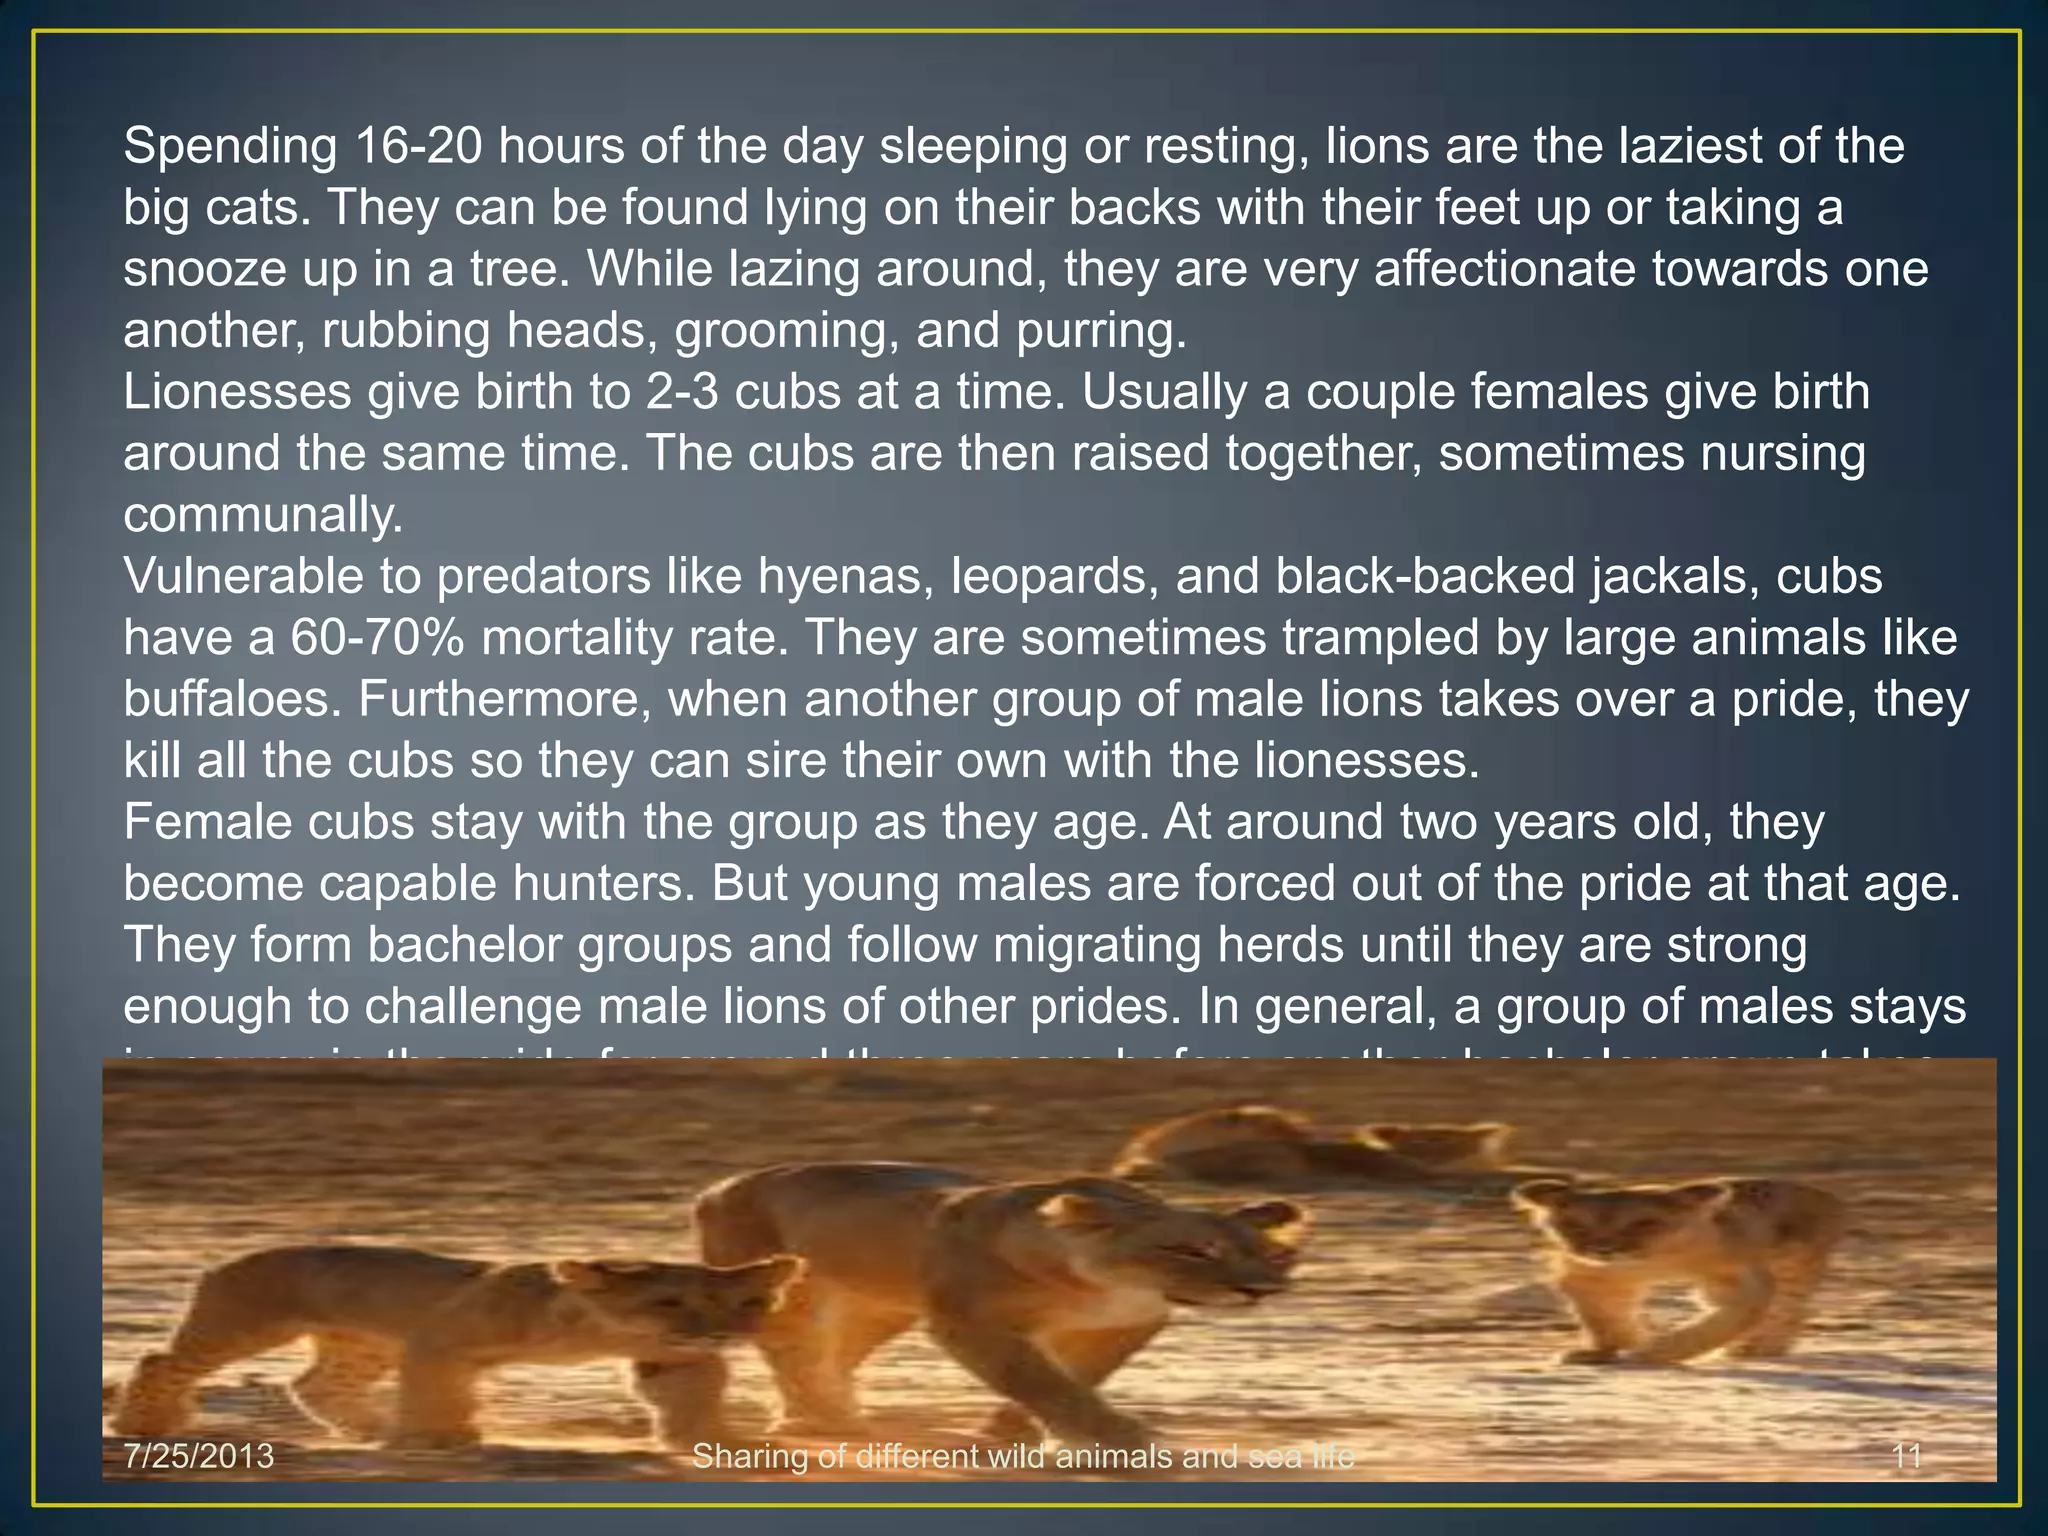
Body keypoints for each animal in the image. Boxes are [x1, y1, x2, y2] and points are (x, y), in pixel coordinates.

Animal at [109, 1243, 803, 1450]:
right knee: (161, 1360)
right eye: (671, 1301)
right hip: (247, 1324)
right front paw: (437, 1437)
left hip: (362, 1344)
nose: (724, 1332)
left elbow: (693, 1391)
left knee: (315, 1385)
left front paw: (712, 1439)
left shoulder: (673, 1356)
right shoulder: (439, 1336)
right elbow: (438, 1392)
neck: (599, 1329)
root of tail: (222, 1261)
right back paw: (142, 1424)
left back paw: (366, 1429)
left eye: (744, 1303)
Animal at [675, 1162, 1310, 1451]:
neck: (1096, 1284)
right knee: (796, 1355)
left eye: (1270, 1254)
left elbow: (1075, 1374)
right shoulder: (967, 1323)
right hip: (788, 1295)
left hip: (883, 1307)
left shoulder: (1128, 1323)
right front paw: (1117, 1438)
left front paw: (1011, 1430)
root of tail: (721, 1184)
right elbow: (1037, 1377)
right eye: (1191, 1249)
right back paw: (821, 1419)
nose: (1261, 1290)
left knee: (833, 1357)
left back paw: (823, 1414)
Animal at [1512, 1177, 1846, 1365]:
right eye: (1575, 1225)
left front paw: (1652, 1353)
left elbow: (1717, 1326)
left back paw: (1754, 1348)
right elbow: (1603, 1321)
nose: (1603, 1249)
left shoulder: (1740, 1279)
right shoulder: (1588, 1278)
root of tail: (1825, 1193)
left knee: (1789, 1310)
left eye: (1643, 1223)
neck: (1652, 1262)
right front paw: (1602, 1352)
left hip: (1793, 1268)